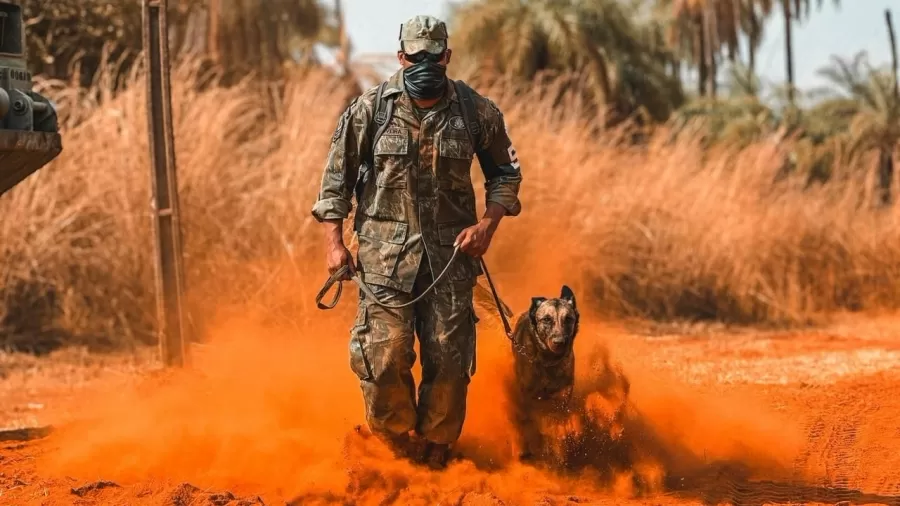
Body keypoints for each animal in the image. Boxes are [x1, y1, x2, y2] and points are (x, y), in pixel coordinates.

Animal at [506, 284, 576, 462]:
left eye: (568, 319)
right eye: (546, 319)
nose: (559, 342)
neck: (548, 363)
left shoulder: (562, 398)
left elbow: (559, 425)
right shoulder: (526, 397)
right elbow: (529, 422)